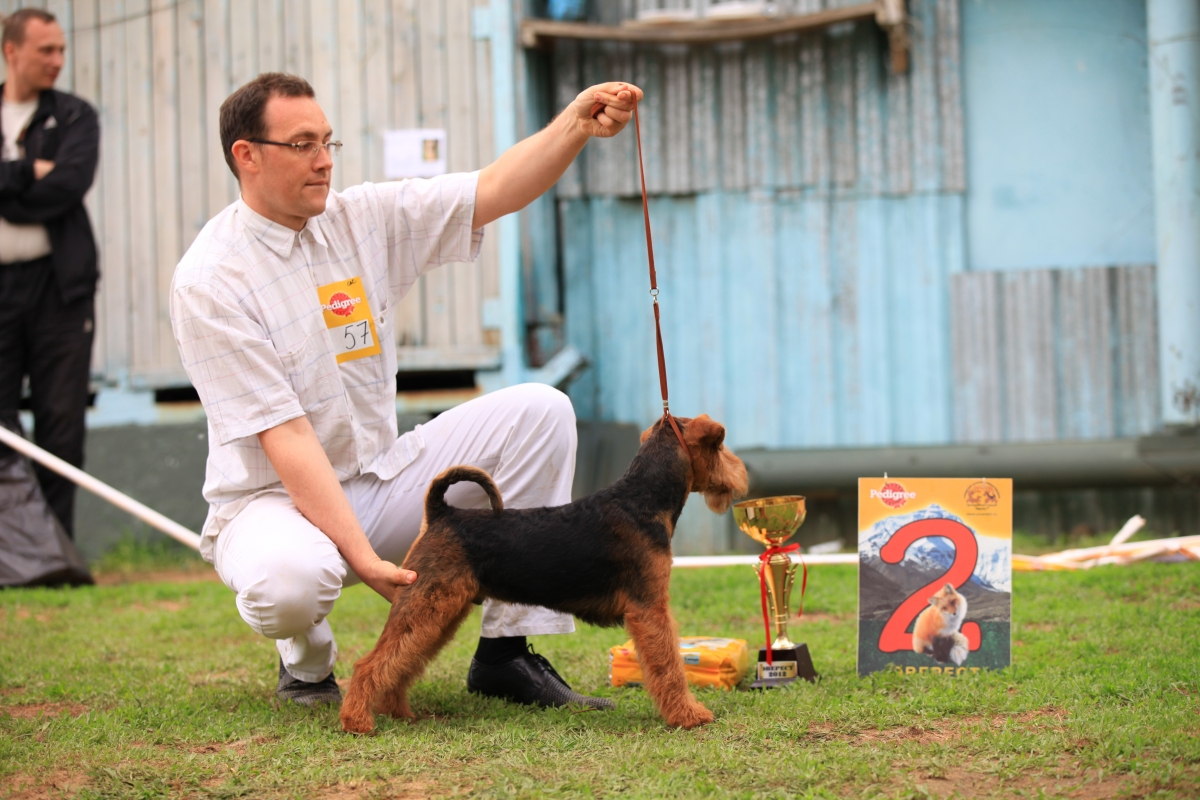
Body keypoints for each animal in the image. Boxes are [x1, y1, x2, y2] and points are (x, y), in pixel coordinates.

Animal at [338, 417, 744, 734]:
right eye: (721, 444)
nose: (742, 474)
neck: (642, 501)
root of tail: (441, 513)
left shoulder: (649, 610)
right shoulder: (650, 609)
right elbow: (669, 666)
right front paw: (690, 716)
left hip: (440, 612)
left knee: (401, 660)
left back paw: (398, 711)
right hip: (427, 604)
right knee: (369, 664)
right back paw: (357, 721)